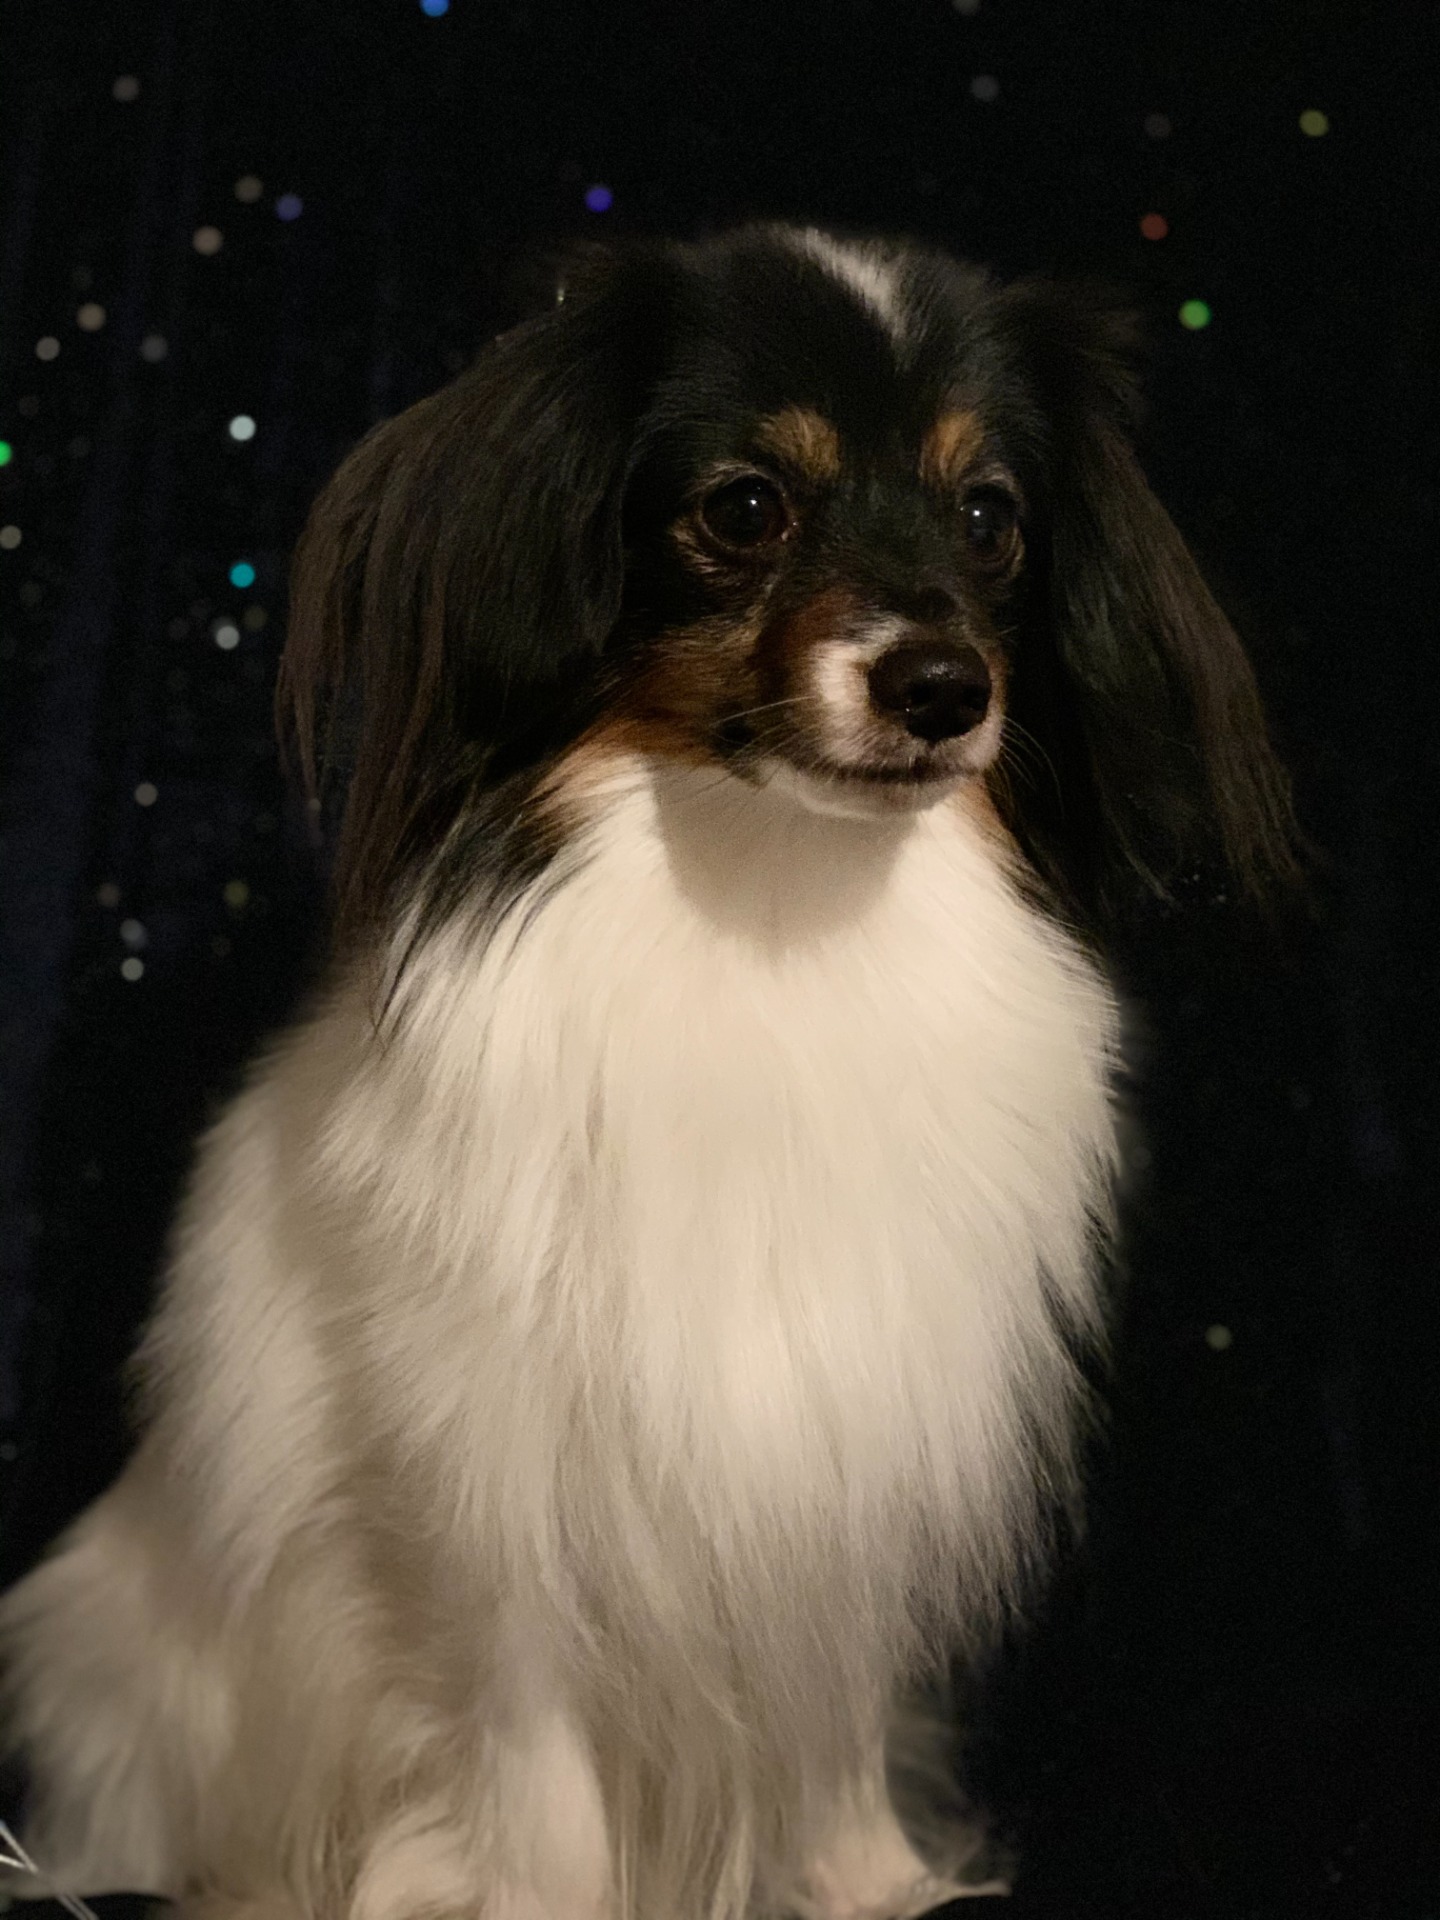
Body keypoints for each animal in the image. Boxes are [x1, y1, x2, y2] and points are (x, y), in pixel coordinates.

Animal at [0, 224, 1296, 1920]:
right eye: (744, 509)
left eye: (989, 518)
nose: (944, 686)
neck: (775, 902)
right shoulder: (503, 1487)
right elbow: (529, 1759)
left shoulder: (839, 1458)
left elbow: (832, 1726)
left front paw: (870, 1884)